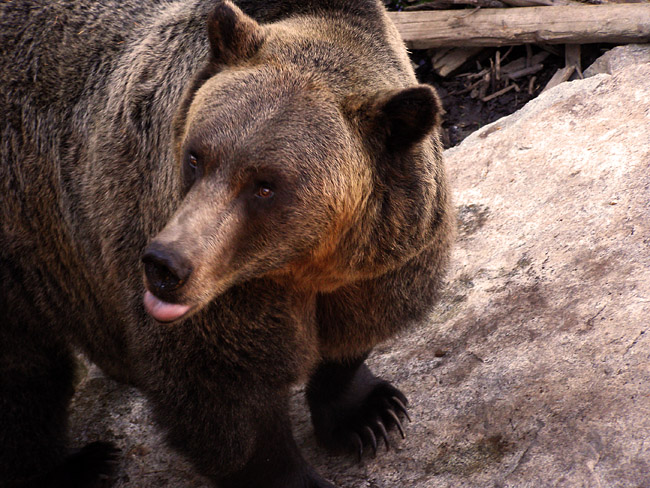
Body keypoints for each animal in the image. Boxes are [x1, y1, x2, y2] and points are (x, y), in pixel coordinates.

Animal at [0, 0, 450, 488]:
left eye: (265, 185)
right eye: (196, 156)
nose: (165, 264)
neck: (300, 266)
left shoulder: (381, 260)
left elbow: (356, 334)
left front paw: (371, 415)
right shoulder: (214, 287)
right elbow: (226, 400)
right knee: (26, 373)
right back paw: (82, 465)